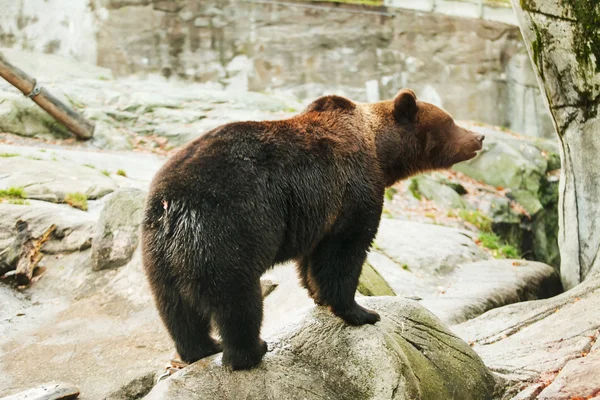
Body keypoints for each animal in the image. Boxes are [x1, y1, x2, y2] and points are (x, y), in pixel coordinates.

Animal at [143, 89, 486, 370]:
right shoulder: (352, 190)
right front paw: (361, 312)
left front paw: (317, 294)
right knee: (237, 299)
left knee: (175, 308)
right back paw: (250, 351)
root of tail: (172, 203)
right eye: (451, 121)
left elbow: (312, 258)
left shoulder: (314, 211)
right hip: (228, 229)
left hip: (159, 251)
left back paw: (202, 348)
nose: (479, 137)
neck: (380, 151)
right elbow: (345, 251)